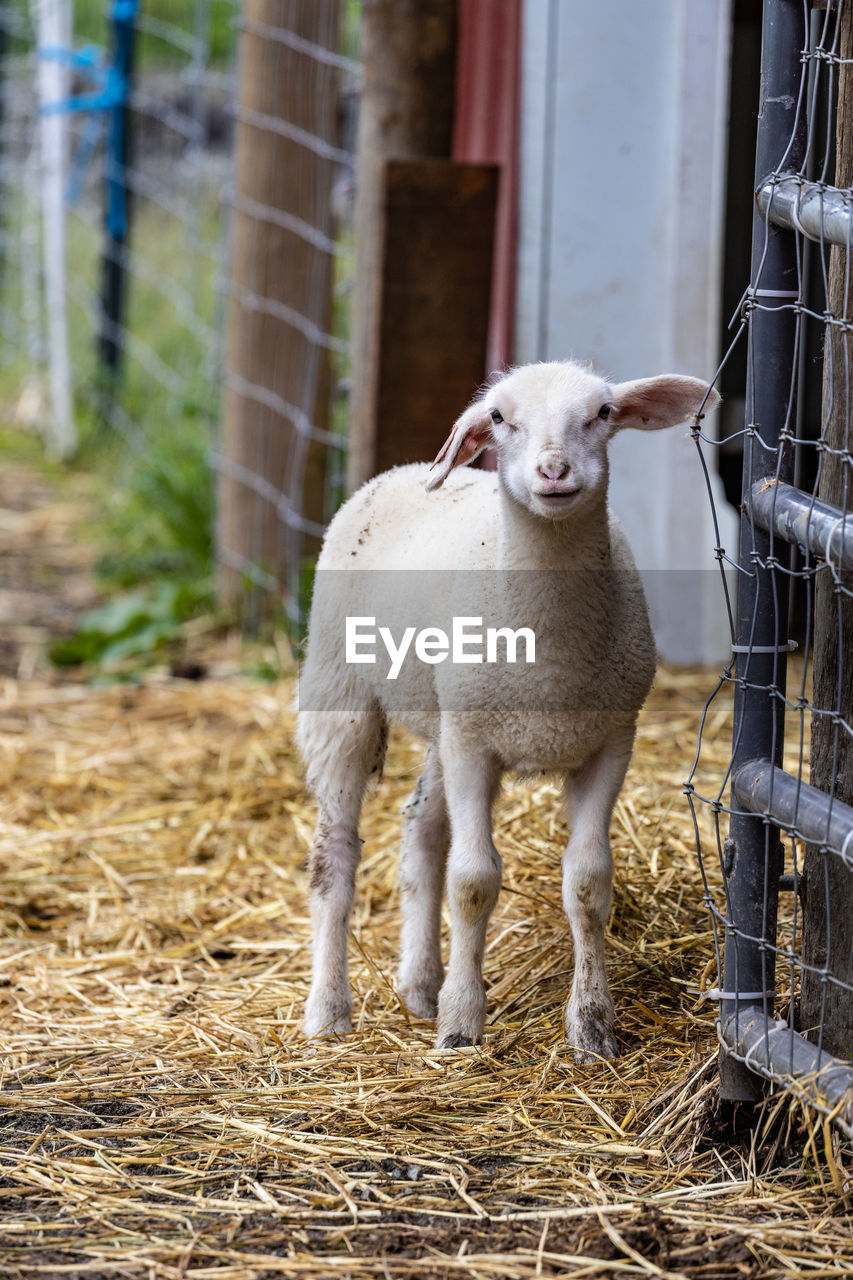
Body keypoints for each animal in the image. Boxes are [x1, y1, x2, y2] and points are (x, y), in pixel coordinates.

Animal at [295, 360, 712, 1059]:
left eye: (602, 413)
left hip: (447, 716)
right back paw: (329, 1011)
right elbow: (472, 881)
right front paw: (462, 1025)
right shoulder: (475, 746)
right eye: (497, 418)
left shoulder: (609, 742)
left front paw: (592, 1028)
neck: (550, 654)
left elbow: (589, 883)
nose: (554, 471)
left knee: (420, 829)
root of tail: (402, 469)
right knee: (336, 853)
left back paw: (420, 985)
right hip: (341, 691)